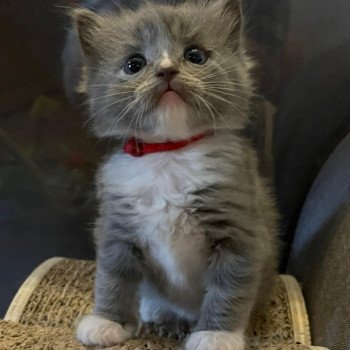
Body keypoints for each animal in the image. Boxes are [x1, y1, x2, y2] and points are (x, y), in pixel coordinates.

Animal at [64, 0, 278, 350]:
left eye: (195, 55)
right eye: (134, 64)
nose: (166, 69)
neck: (169, 154)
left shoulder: (239, 230)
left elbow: (228, 288)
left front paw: (215, 335)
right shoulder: (116, 228)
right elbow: (112, 277)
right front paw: (107, 321)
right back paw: (159, 314)